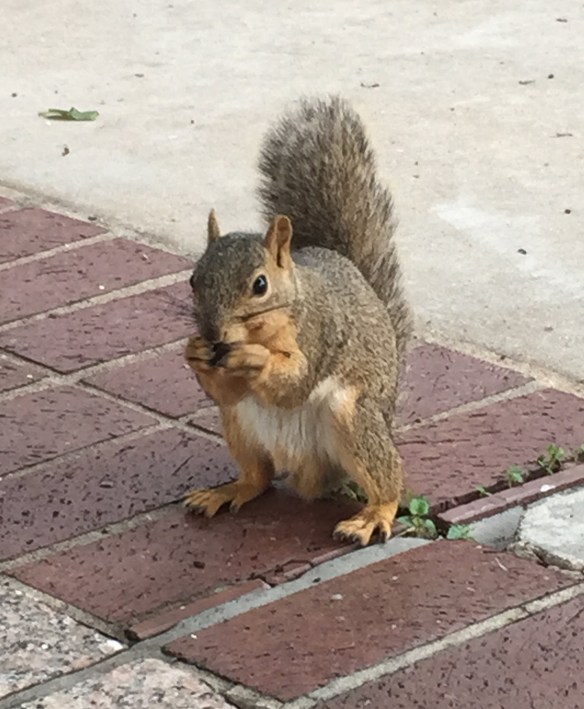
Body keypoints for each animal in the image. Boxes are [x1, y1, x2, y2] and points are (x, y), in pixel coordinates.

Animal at [184, 95, 412, 546]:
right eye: (193, 279)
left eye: (259, 285)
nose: (212, 334)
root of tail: (306, 472)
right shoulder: (230, 386)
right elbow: (224, 390)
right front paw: (194, 352)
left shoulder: (320, 331)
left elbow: (294, 384)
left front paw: (256, 359)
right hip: (238, 423)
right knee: (259, 477)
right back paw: (227, 491)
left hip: (354, 416)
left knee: (389, 479)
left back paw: (373, 514)